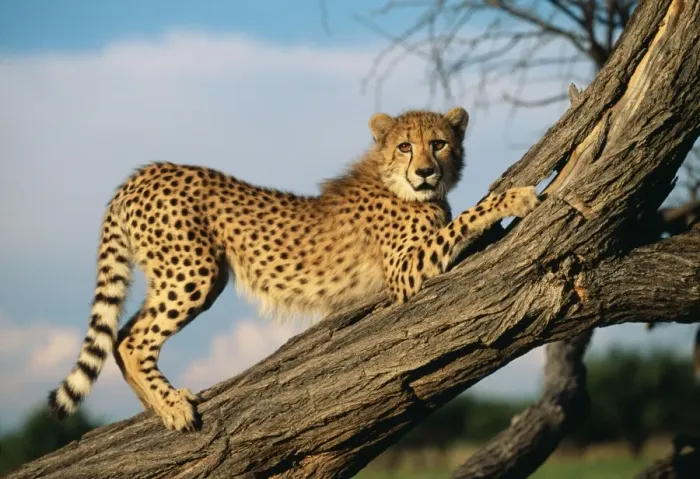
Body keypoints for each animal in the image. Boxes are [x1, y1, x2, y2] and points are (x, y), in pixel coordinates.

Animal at [48, 107, 540, 432]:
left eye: (438, 144)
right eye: (405, 146)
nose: (424, 172)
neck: (396, 184)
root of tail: (142, 173)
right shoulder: (404, 271)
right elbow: (466, 218)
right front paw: (514, 197)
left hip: (191, 274)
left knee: (122, 334)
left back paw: (155, 405)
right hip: (193, 272)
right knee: (133, 340)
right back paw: (171, 406)